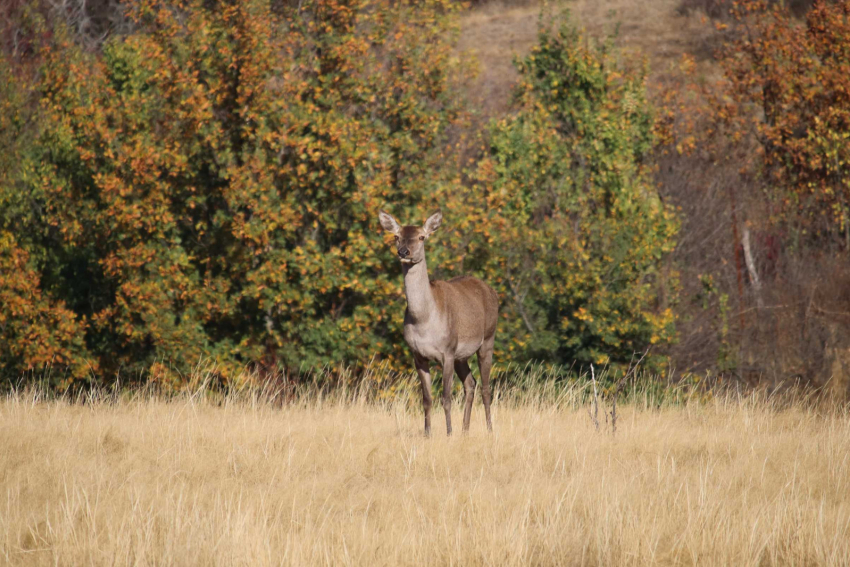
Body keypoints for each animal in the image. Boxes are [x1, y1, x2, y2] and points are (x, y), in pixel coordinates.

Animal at [378, 211, 496, 438]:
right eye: (396, 236)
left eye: (422, 237)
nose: (403, 251)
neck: (423, 321)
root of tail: (490, 289)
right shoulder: (418, 355)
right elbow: (427, 399)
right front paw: (428, 433)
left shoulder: (447, 351)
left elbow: (446, 398)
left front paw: (448, 433)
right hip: (462, 355)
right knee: (471, 383)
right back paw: (465, 431)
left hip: (487, 338)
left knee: (486, 388)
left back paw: (489, 430)